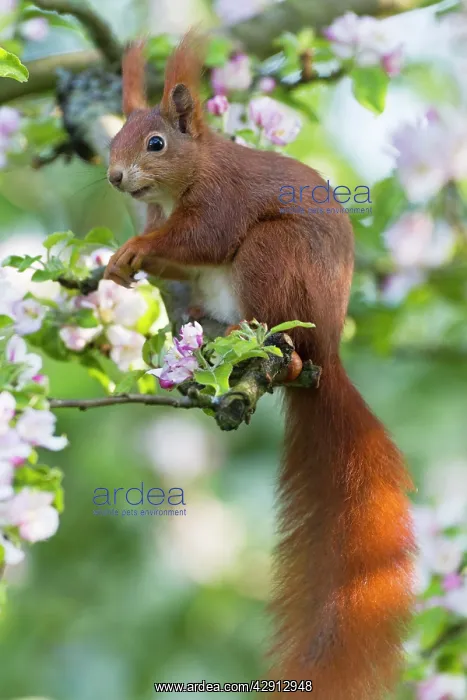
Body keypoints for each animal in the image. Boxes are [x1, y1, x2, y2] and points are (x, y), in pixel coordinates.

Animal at [104, 33, 415, 700]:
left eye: (156, 143)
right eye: (114, 136)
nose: (114, 176)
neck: (192, 174)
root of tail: (327, 354)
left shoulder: (220, 204)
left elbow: (204, 238)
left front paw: (135, 248)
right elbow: (178, 257)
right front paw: (125, 265)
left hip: (274, 260)